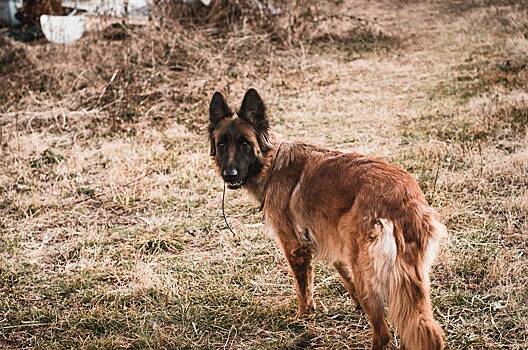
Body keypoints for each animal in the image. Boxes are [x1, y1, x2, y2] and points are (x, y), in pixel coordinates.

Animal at [208, 89, 448, 348]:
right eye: (222, 144)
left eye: (245, 144)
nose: (229, 175)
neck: (271, 164)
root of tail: (404, 198)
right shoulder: (335, 243)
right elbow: (344, 274)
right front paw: (354, 305)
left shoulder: (295, 248)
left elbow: (303, 290)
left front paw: (303, 318)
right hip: (408, 279)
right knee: (423, 328)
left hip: (368, 276)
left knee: (383, 333)